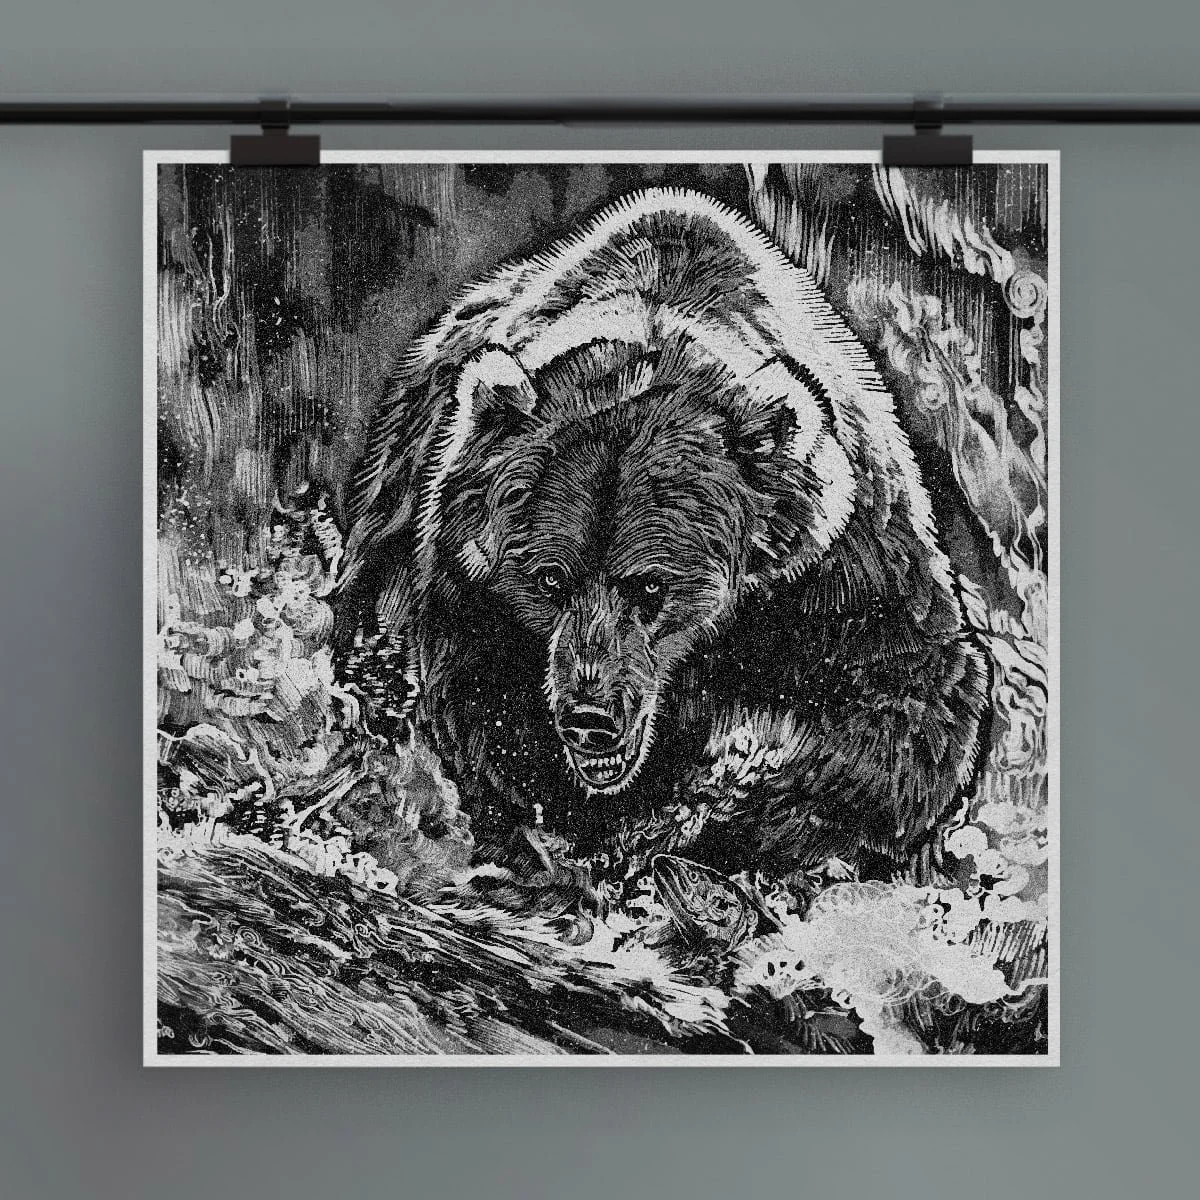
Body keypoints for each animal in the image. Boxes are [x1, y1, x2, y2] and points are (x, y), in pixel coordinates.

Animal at [336, 186, 989, 891]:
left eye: (651, 585)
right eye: (550, 578)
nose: (590, 717)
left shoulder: (838, 568)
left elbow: (913, 702)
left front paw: (721, 806)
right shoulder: (466, 568)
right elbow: (479, 699)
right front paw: (578, 826)